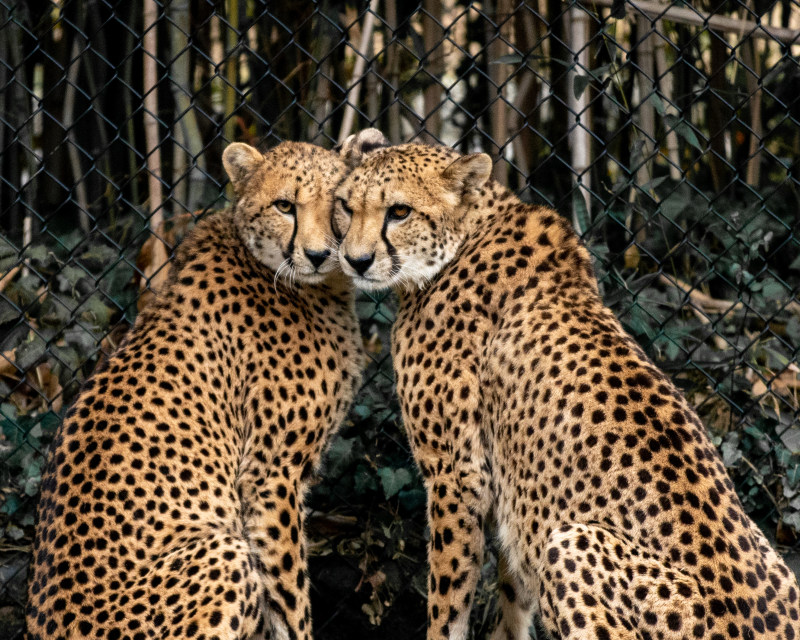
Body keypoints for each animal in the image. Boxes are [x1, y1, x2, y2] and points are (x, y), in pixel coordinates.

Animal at [25, 141, 362, 640]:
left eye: (339, 204)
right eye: (285, 206)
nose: (320, 254)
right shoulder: (270, 476)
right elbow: (290, 600)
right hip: (224, 554)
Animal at [334, 131, 796, 640]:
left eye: (399, 211)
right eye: (345, 206)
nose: (355, 261)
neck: (466, 235)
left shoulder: (457, 474)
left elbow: (448, 599)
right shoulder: (514, 497)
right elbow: (513, 597)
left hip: (573, 540)